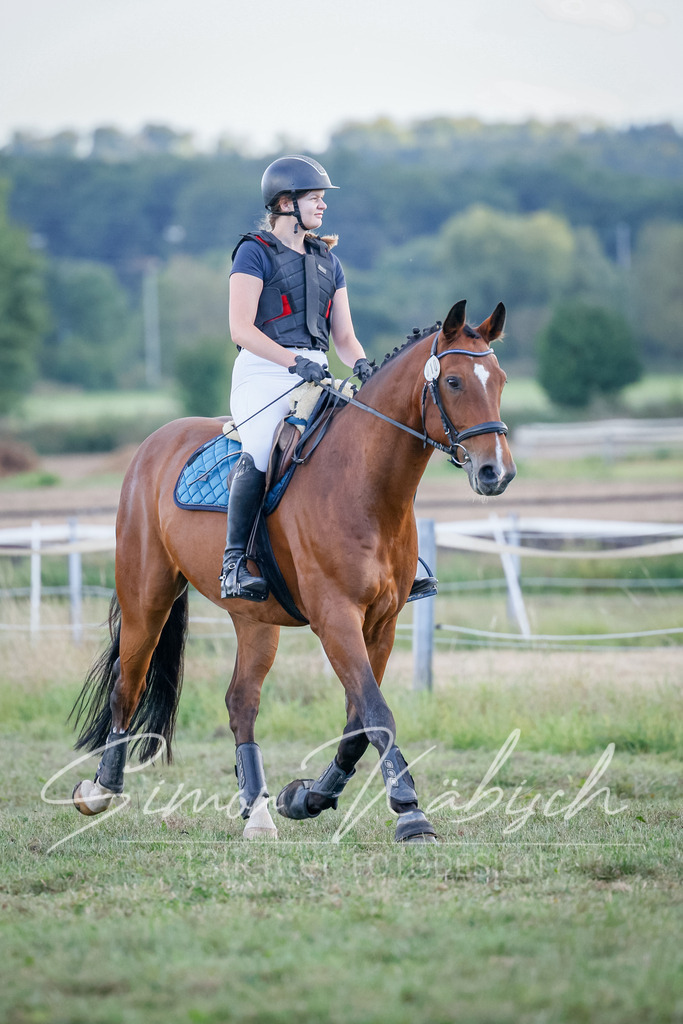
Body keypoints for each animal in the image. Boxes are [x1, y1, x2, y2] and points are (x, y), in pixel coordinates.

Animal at [70, 299, 516, 843]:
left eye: (500, 380)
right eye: (452, 381)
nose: (496, 473)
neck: (363, 485)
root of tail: (153, 444)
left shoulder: (382, 625)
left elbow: (358, 723)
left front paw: (307, 798)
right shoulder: (335, 618)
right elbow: (377, 713)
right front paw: (411, 814)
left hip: (254, 619)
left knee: (240, 702)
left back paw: (257, 811)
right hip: (146, 598)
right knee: (126, 685)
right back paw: (99, 790)